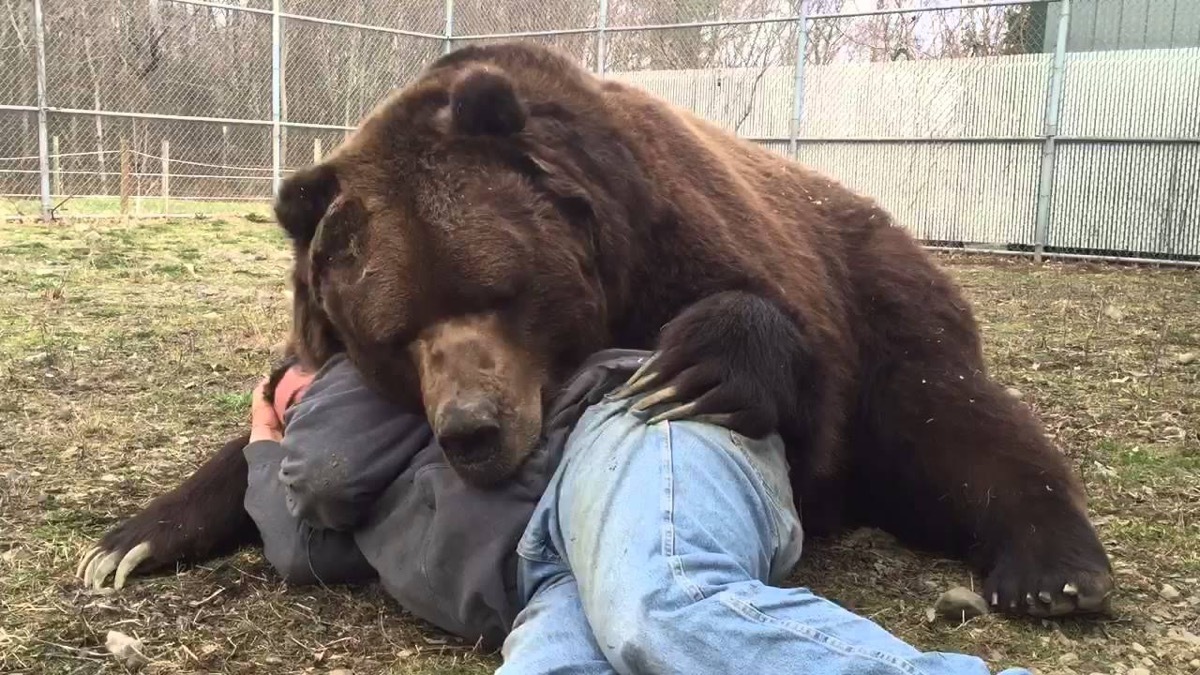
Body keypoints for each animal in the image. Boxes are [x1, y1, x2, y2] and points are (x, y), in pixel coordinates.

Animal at [80, 40, 1114, 619]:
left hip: (893, 302)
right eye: (395, 329)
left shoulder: (692, 237)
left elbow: (778, 348)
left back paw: (1053, 571)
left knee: (958, 423)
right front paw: (124, 541)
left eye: (499, 290)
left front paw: (695, 365)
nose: (473, 428)